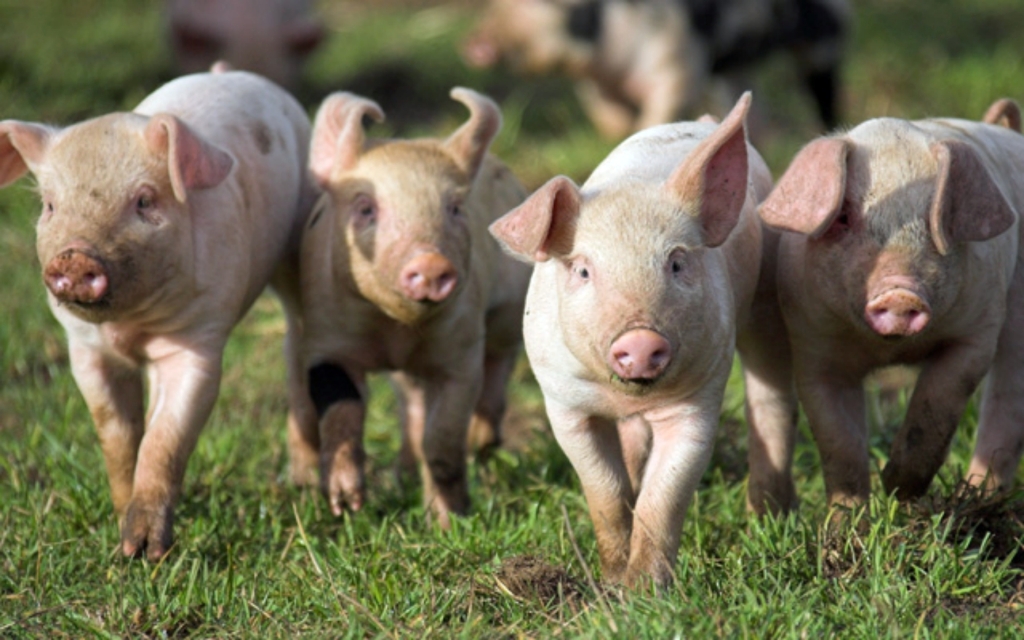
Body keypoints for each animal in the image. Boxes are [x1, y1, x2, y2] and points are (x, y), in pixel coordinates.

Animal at [464, 0, 847, 139]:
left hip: (823, 33)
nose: (475, 44)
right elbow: (608, 116)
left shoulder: (678, 65)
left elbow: (662, 110)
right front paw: (617, 137)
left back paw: (826, 129)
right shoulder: (599, 88)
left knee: (822, 82)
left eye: (540, 4)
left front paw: (643, 130)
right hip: (733, 68)